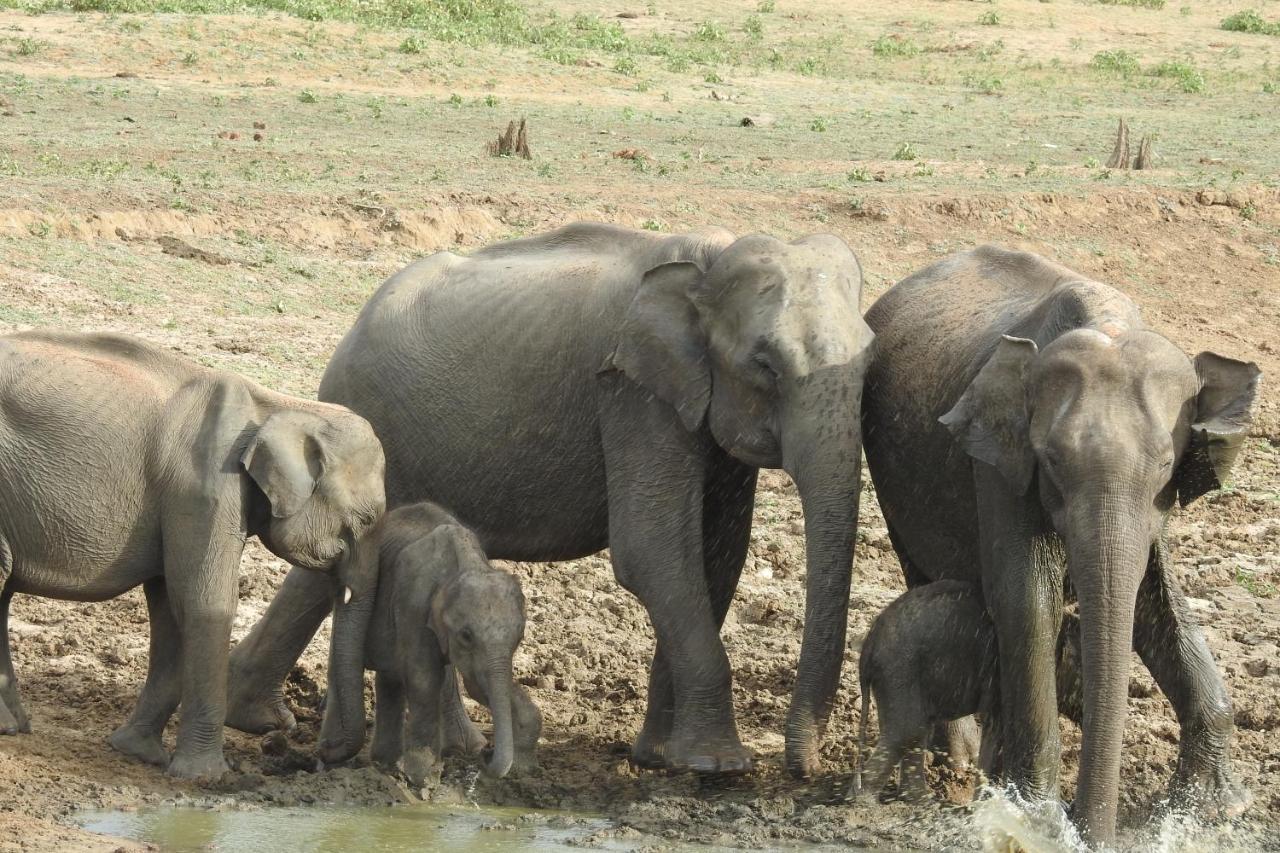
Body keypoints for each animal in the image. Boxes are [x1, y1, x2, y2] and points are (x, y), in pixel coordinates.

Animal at [0, 330, 384, 778]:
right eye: (365, 519)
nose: (318, 756)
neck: (277, 405)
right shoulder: (206, 491)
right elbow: (204, 604)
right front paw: (207, 778)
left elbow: (171, 608)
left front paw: (137, 752)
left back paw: (13, 727)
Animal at [366, 499, 540, 783]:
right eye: (466, 636)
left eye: (520, 637)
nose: (487, 753)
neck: (466, 563)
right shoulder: (414, 605)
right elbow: (423, 678)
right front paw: (423, 776)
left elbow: (479, 684)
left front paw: (522, 765)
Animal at [849, 578, 998, 799]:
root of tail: (868, 644)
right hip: (898, 672)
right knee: (906, 733)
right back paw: (866, 802)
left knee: (915, 732)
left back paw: (922, 801)